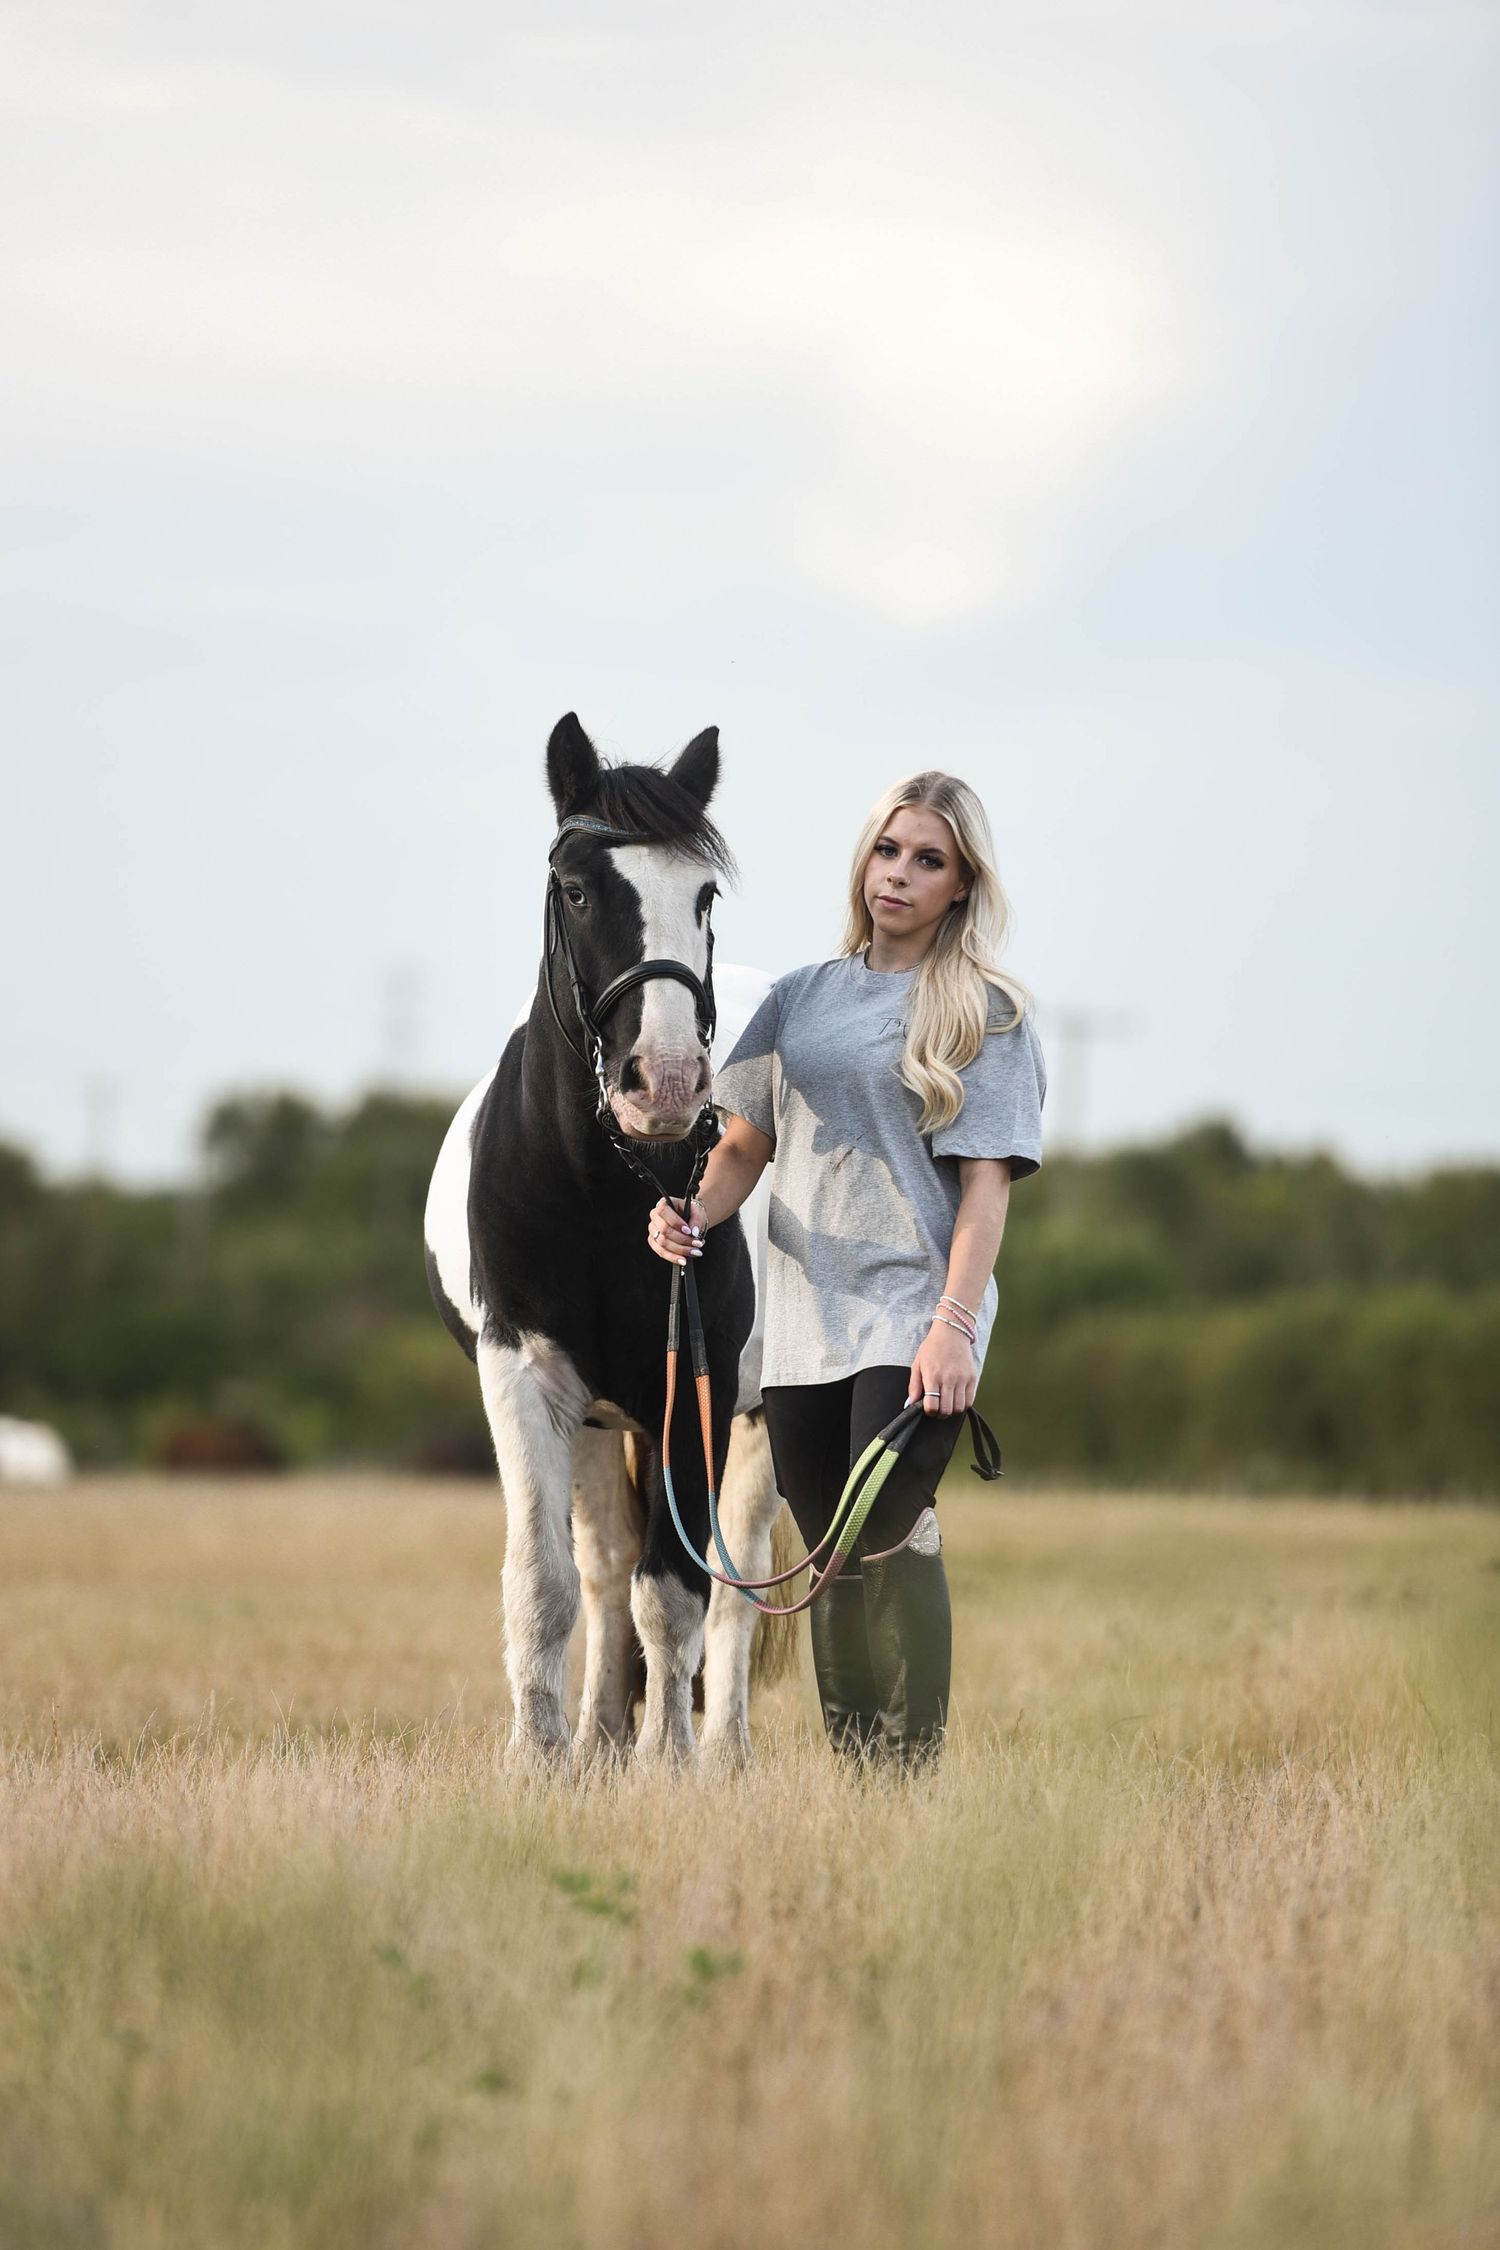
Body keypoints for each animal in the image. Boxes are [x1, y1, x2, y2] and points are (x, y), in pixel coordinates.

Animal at [423, 713, 796, 1766]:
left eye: (704, 893)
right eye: (579, 888)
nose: (662, 1083)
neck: (601, 1191)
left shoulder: (692, 1399)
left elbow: (676, 1597)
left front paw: (668, 1762)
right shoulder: (525, 1376)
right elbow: (546, 1585)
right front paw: (544, 1762)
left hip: (751, 1416)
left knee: (733, 1586)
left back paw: (724, 1757)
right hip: (595, 1420)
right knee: (601, 1570)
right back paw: (594, 1743)